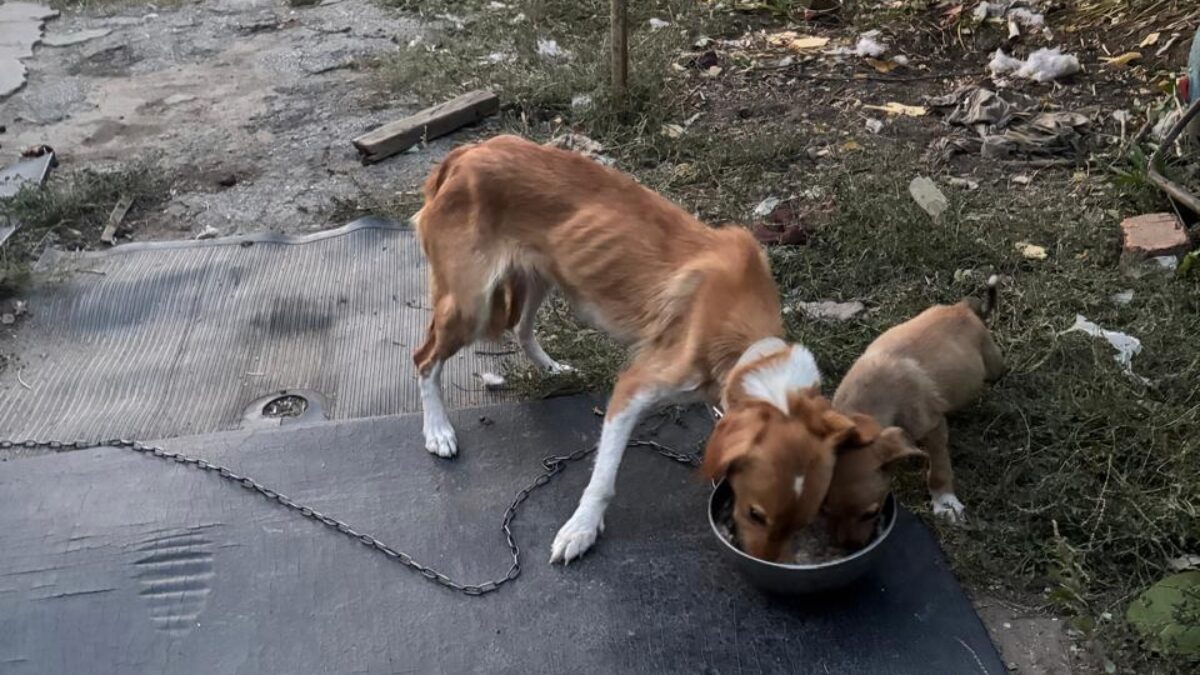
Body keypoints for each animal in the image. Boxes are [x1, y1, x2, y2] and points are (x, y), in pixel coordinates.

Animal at [410, 135, 881, 564]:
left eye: (805, 520)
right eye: (755, 514)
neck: (747, 341)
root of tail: (466, 153)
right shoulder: (634, 389)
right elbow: (603, 480)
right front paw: (582, 529)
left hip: (541, 274)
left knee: (521, 329)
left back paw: (551, 369)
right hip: (469, 305)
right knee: (424, 360)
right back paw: (438, 431)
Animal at [824, 277, 1005, 550]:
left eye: (870, 513)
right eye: (824, 510)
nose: (849, 548)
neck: (866, 403)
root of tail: (962, 308)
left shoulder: (933, 427)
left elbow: (938, 470)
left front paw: (945, 503)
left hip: (993, 363)